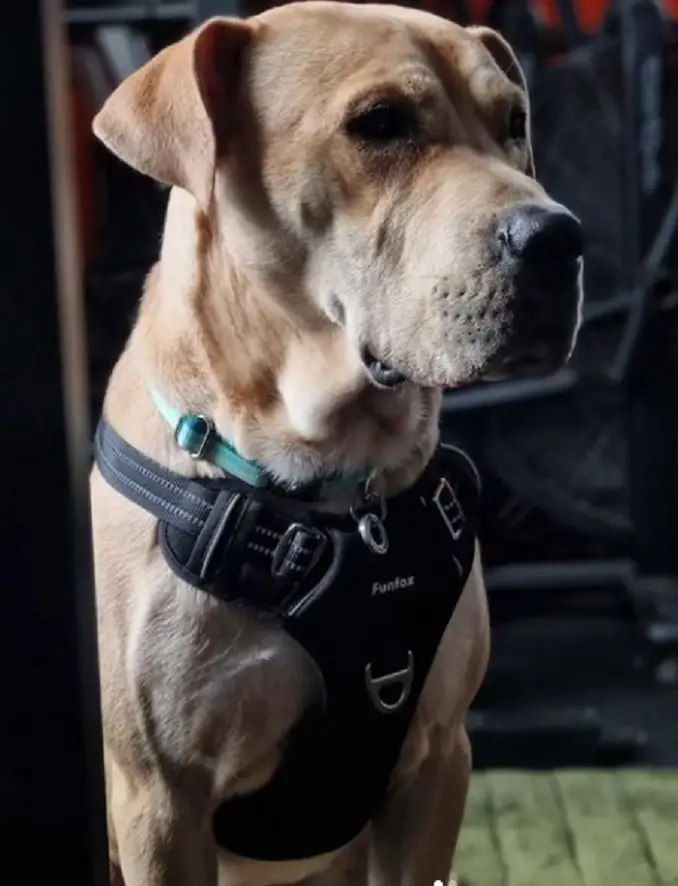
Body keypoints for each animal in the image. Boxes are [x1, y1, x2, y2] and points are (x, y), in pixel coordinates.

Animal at [87, 1, 580, 886]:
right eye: (379, 124)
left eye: (514, 123)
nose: (559, 239)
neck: (330, 490)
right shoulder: (159, 800)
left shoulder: (436, 761)